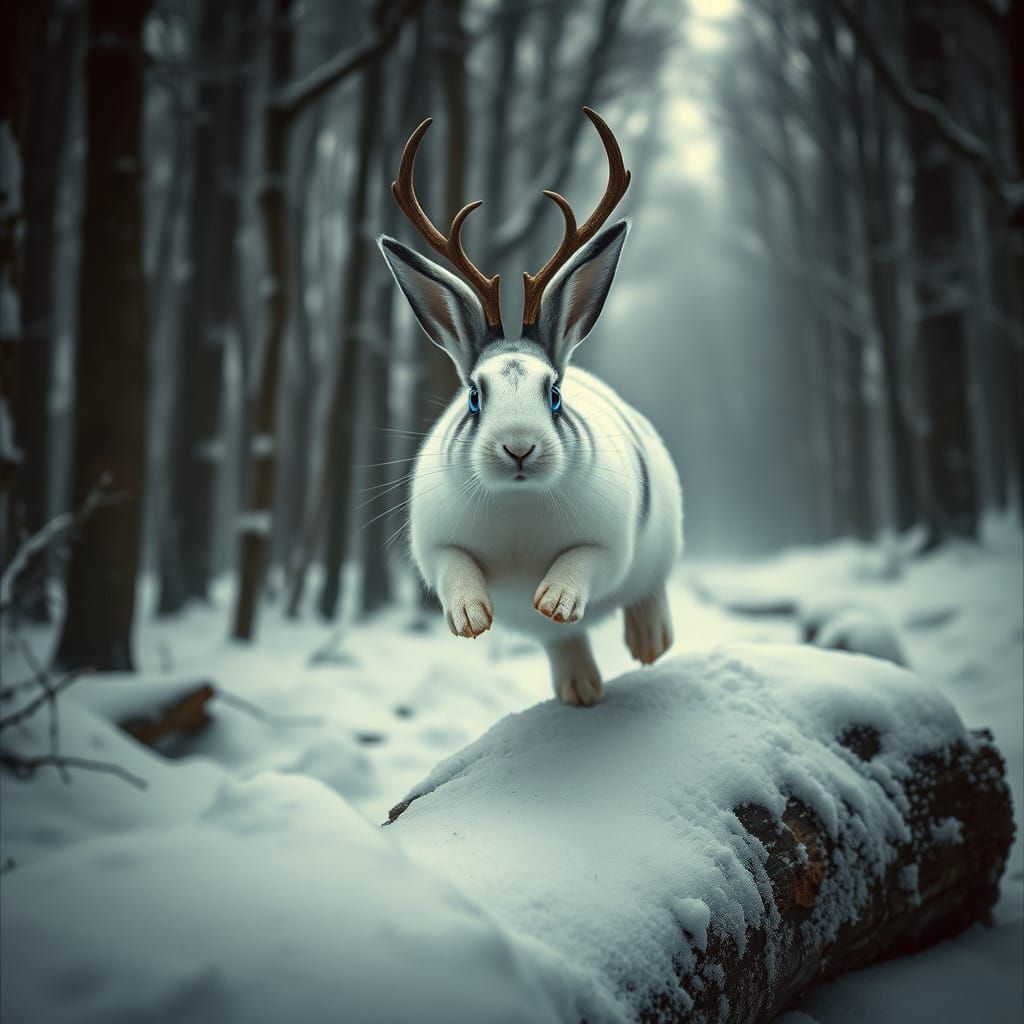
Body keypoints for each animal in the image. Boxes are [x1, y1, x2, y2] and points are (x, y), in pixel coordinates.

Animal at [377, 109, 683, 706]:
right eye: (474, 396)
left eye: (555, 393)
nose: (518, 447)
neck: (517, 505)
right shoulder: (436, 545)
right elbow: (454, 568)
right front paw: (471, 618)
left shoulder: (608, 544)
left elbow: (582, 561)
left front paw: (555, 601)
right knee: (563, 645)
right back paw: (580, 691)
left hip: (663, 538)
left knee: (649, 588)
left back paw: (648, 644)